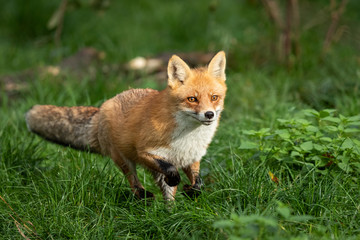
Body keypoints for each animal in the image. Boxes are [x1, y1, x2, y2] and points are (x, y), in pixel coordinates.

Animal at [26, 51, 228, 201]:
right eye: (192, 99)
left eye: (214, 97)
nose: (209, 114)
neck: (187, 138)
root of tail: (102, 109)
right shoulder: (145, 151)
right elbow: (171, 170)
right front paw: (178, 181)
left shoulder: (191, 158)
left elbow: (198, 183)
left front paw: (192, 190)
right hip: (123, 159)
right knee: (134, 183)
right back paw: (144, 196)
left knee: (166, 198)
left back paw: (168, 215)